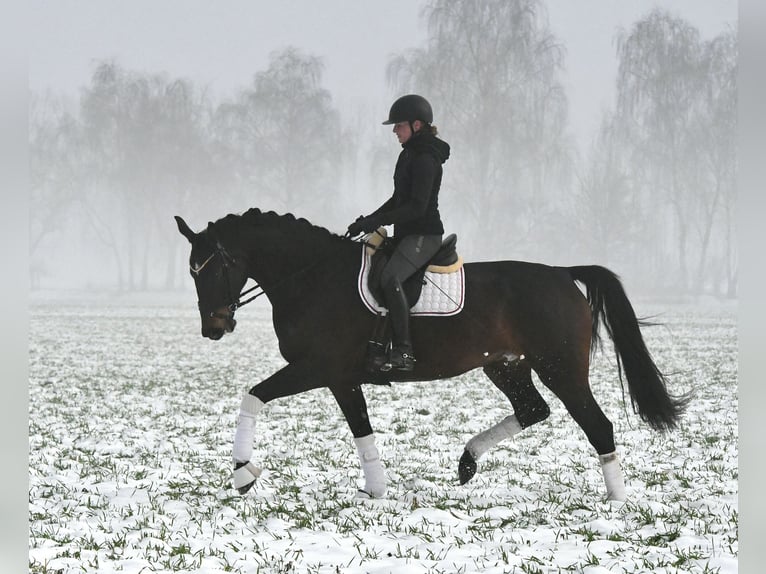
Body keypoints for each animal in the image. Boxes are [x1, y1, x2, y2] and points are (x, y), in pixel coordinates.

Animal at [175, 208, 688, 501]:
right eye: (191, 272)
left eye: (212, 268)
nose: (213, 328)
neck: (311, 276)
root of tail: (562, 274)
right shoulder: (341, 376)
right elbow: (361, 429)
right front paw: (376, 490)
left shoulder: (317, 367)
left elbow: (253, 396)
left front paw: (243, 474)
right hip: (506, 365)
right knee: (532, 410)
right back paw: (466, 462)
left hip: (560, 368)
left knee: (597, 425)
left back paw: (616, 501)